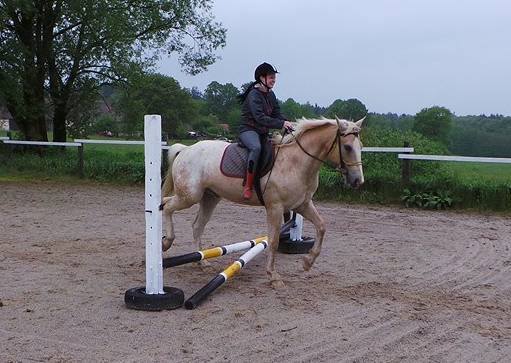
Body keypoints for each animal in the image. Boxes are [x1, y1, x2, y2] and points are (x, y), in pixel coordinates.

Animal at [160, 116, 364, 288]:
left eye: (360, 146)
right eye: (347, 147)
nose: (358, 181)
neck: (296, 162)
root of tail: (186, 149)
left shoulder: (302, 204)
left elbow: (321, 226)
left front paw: (308, 262)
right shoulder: (275, 208)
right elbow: (273, 241)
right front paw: (274, 277)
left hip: (209, 197)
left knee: (196, 225)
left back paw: (202, 262)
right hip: (190, 196)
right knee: (166, 205)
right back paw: (166, 242)